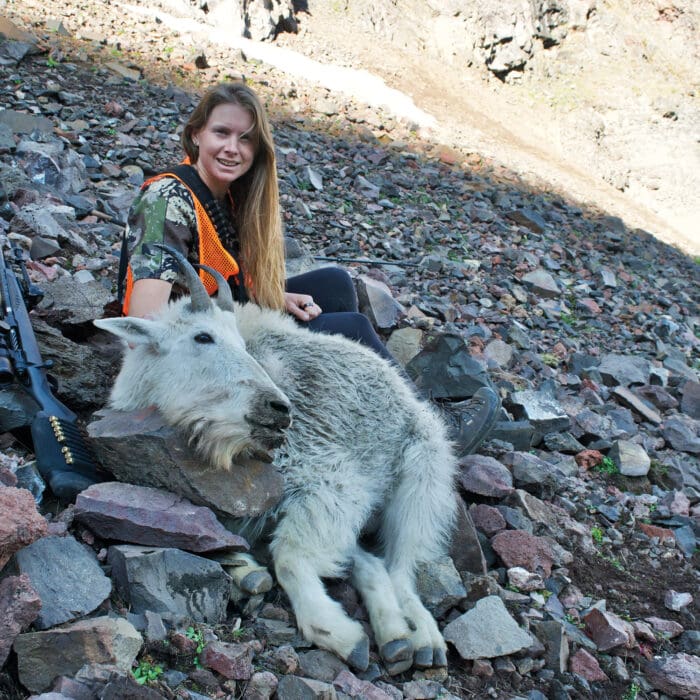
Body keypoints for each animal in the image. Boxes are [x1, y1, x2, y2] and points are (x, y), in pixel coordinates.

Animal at [94, 246, 458, 674]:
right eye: (203, 336)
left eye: (241, 343)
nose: (279, 408)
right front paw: (246, 571)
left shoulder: (331, 482)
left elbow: (290, 558)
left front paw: (340, 635)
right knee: (371, 562)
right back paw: (395, 637)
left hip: (422, 474)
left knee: (401, 565)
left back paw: (421, 638)